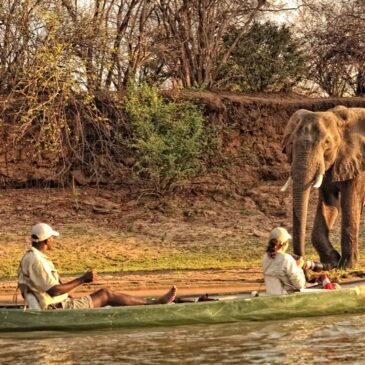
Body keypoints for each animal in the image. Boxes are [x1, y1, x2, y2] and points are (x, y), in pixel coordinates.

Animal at [282, 105, 365, 268]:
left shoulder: (357, 163)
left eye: (327, 143)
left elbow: (349, 203)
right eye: (291, 143)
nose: (304, 264)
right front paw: (332, 261)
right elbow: (329, 203)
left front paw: (346, 266)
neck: (338, 117)